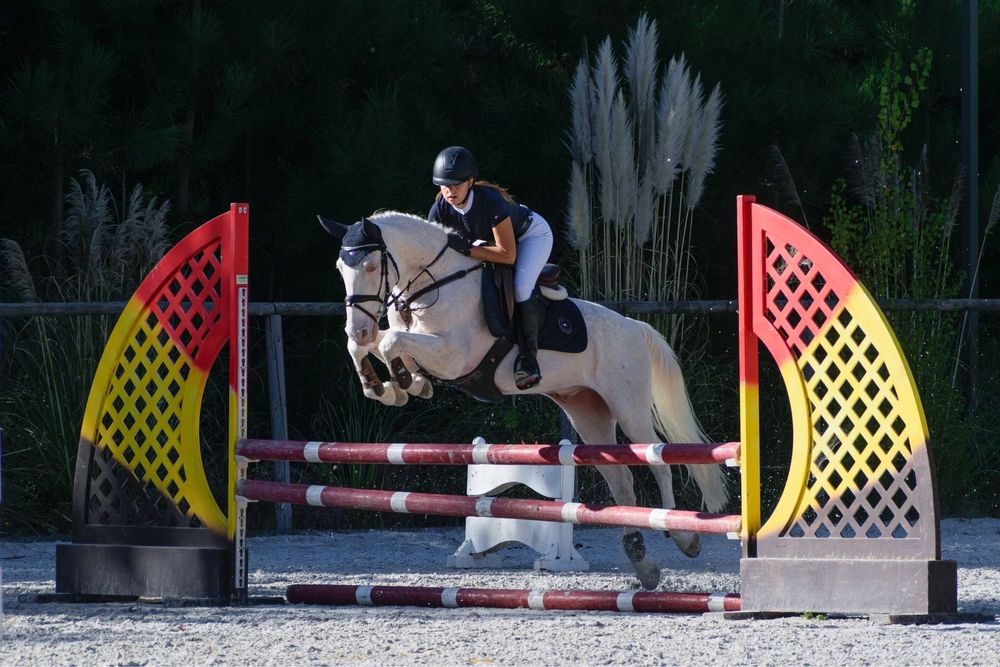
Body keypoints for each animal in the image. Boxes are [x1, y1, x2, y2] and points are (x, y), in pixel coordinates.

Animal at [321, 210, 728, 590]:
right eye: (340, 268)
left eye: (371, 266)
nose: (359, 326)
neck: (435, 283)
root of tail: (636, 327)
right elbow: (375, 345)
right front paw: (390, 386)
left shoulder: (455, 356)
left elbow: (392, 342)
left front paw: (405, 382)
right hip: (589, 414)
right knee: (621, 478)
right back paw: (642, 563)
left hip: (629, 406)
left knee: (659, 462)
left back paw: (684, 537)